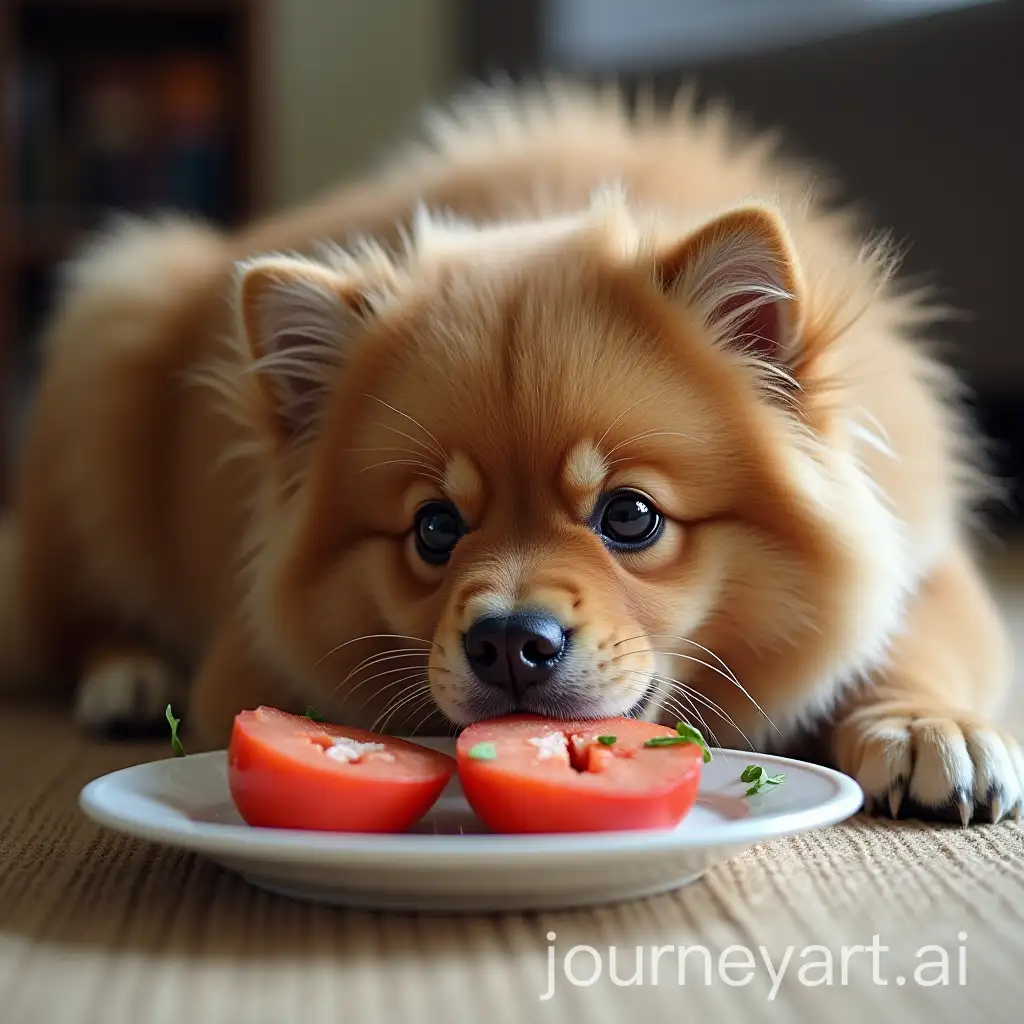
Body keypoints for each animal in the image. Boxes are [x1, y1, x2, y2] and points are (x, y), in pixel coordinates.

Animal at [0, 88, 1015, 823]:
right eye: (434, 529)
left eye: (631, 517)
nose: (510, 643)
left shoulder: (928, 558)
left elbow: (911, 641)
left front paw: (928, 728)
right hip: (108, 335)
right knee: (73, 620)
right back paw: (127, 675)